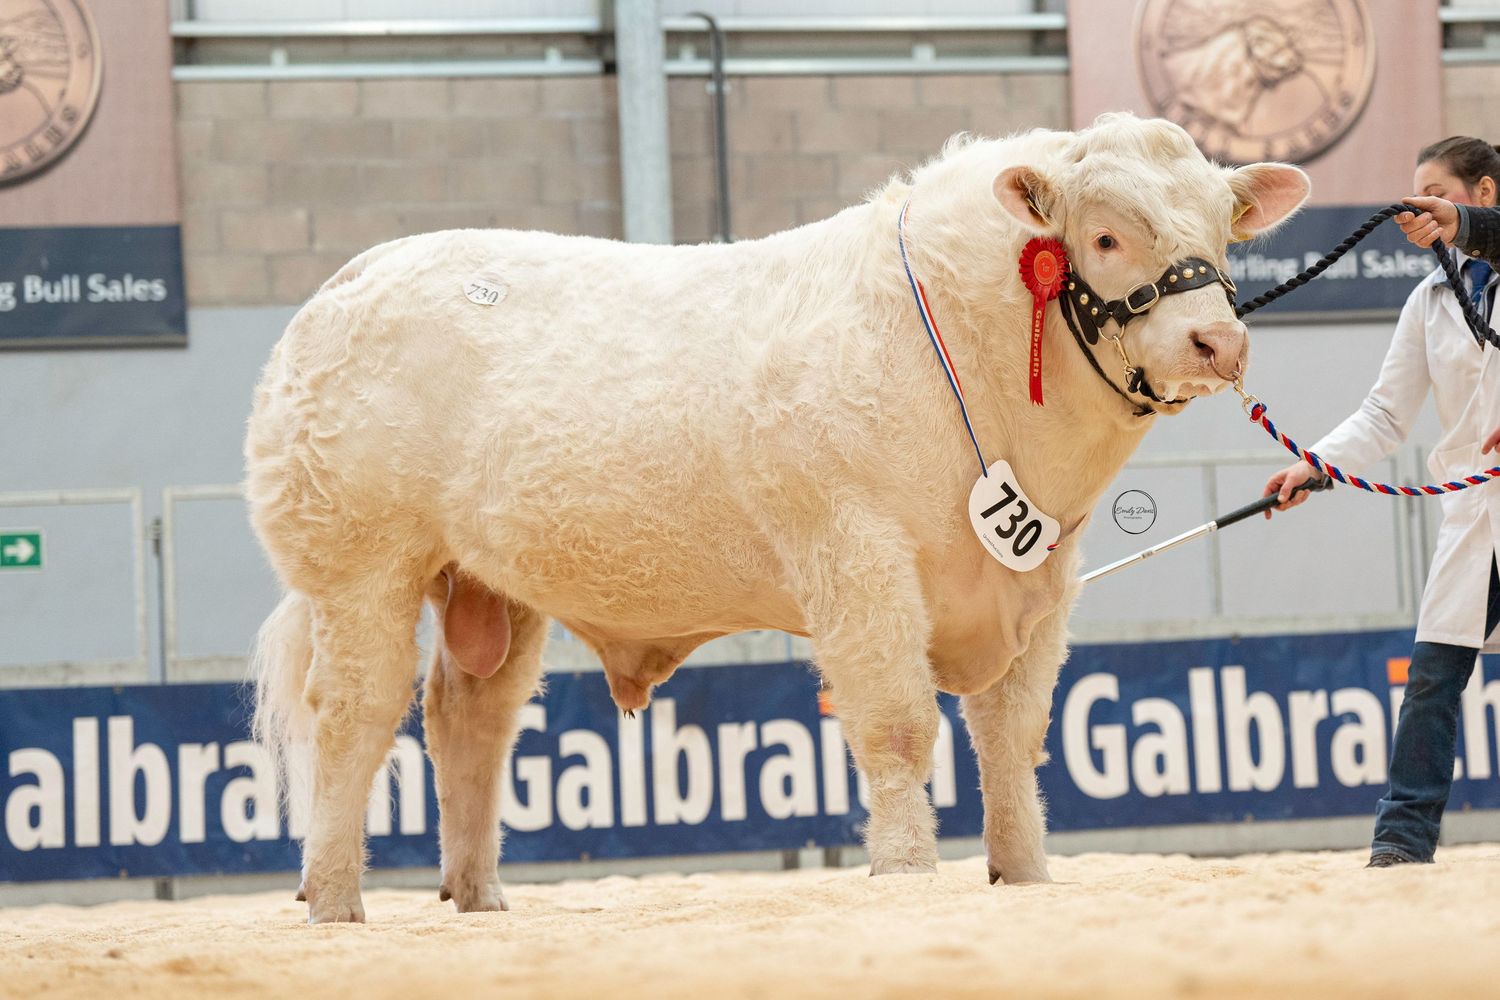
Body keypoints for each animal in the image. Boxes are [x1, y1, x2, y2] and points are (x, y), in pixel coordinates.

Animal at [245, 113, 1309, 923]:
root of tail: (352, 278)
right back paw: (335, 901)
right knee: (353, 718)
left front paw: (1025, 874)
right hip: (362, 568)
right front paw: (907, 874)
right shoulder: (857, 556)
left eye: (1224, 235)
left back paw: (477, 899)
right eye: (1107, 236)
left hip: (491, 587)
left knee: (468, 722)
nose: (1218, 342)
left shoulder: (1039, 582)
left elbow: (1012, 739)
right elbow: (898, 727)